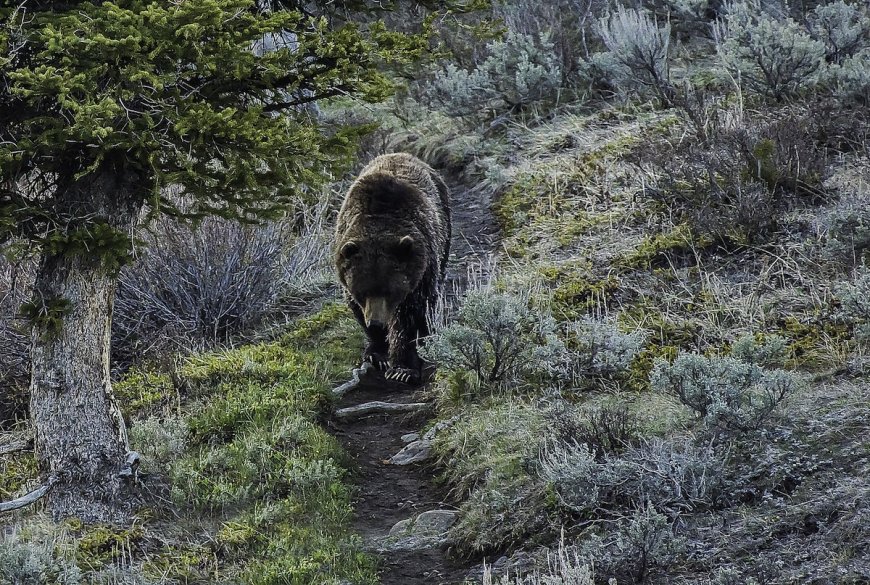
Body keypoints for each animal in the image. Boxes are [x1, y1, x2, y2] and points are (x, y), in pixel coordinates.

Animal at [334, 153, 451, 385]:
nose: (376, 323)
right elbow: (355, 309)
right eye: (363, 292)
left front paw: (402, 369)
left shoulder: (419, 273)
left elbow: (409, 316)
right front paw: (377, 353)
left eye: (389, 291)